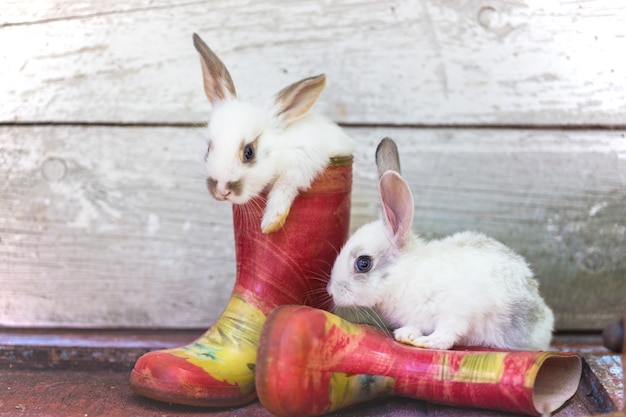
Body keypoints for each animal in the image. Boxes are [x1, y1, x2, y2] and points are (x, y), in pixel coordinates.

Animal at [190, 33, 356, 232]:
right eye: (208, 149)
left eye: (249, 152)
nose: (222, 191)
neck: (280, 149)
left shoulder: (304, 160)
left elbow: (285, 185)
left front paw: (271, 222)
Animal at [326, 138, 552, 350]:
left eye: (363, 263)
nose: (331, 292)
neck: (405, 276)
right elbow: (415, 326)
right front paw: (406, 335)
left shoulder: (456, 311)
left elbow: (448, 332)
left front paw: (429, 342)